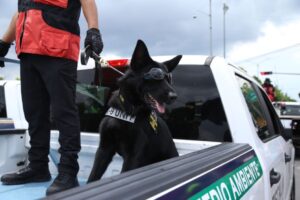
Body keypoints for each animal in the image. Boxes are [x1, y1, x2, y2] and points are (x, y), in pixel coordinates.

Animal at [86, 39, 180, 183]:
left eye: (168, 79)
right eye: (156, 76)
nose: (174, 96)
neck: (129, 109)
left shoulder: (134, 156)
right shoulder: (104, 149)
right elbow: (93, 177)